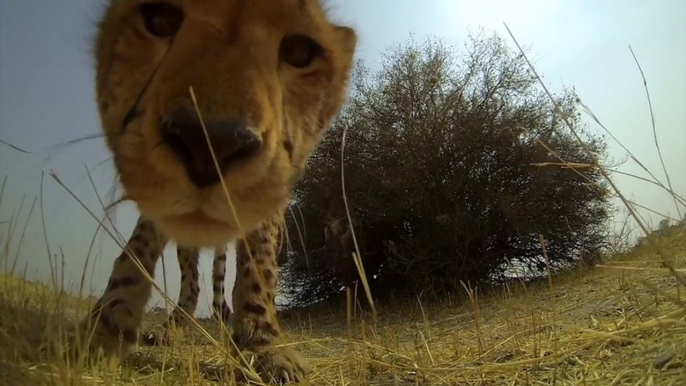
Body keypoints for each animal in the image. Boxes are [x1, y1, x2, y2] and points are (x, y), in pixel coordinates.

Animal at [65, 0, 358, 382]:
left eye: (299, 52)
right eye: (161, 19)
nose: (211, 146)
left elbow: (260, 265)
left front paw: (261, 343)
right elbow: (139, 249)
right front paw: (106, 325)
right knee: (191, 282)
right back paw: (172, 327)